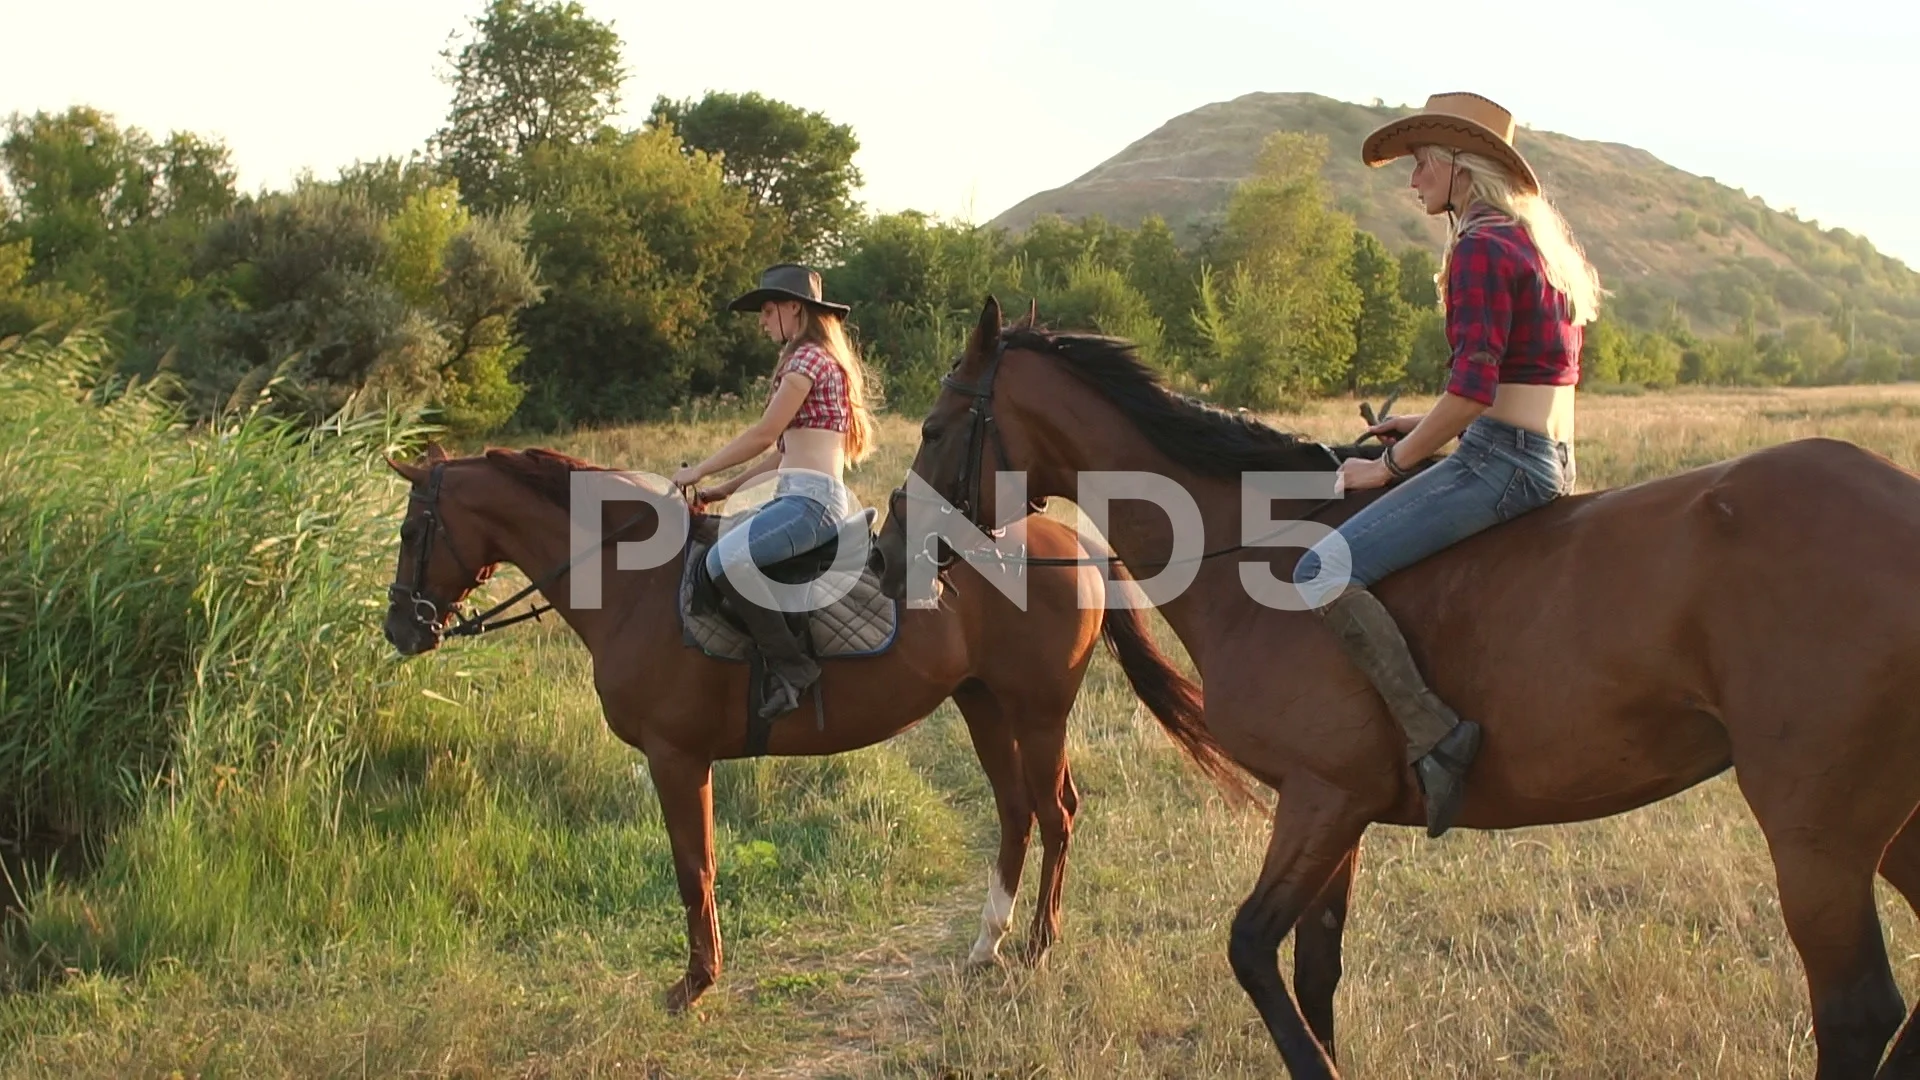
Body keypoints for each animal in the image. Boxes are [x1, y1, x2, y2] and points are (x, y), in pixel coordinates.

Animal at [378, 440, 1244, 1006]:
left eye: (412, 531)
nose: (400, 630)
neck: (633, 584)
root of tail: (1075, 541)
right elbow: (701, 866)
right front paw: (703, 975)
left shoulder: (674, 757)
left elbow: (694, 869)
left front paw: (694, 984)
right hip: (982, 705)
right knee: (1016, 812)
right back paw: (988, 941)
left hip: (1037, 713)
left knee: (1057, 811)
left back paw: (1037, 945)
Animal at [883, 294, 1920, 1076]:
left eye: (934, 427)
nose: (894, 551)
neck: (1252, 550)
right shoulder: (1337, 812)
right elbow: (1313, 971)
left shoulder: (1321, 798)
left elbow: (1252, 951)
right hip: (1884, 829)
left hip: (1815, 835)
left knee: (1860, 1012)